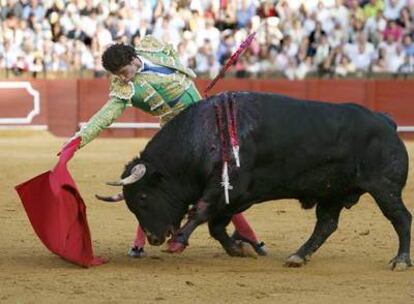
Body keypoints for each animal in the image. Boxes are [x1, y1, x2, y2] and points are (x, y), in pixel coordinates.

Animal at [112, 91, 410, 270]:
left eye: (143, 197)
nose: (154, 238)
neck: (203, 137)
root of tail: (386, 122)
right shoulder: (235, 198)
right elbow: (216, 226)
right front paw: (240, 248)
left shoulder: (227, 188)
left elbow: (201, 212)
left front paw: (179, 241)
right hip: (332, 192)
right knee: (326, 224)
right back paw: (298, 256)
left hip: (384, 188)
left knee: (401, 218)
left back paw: (401, 260)